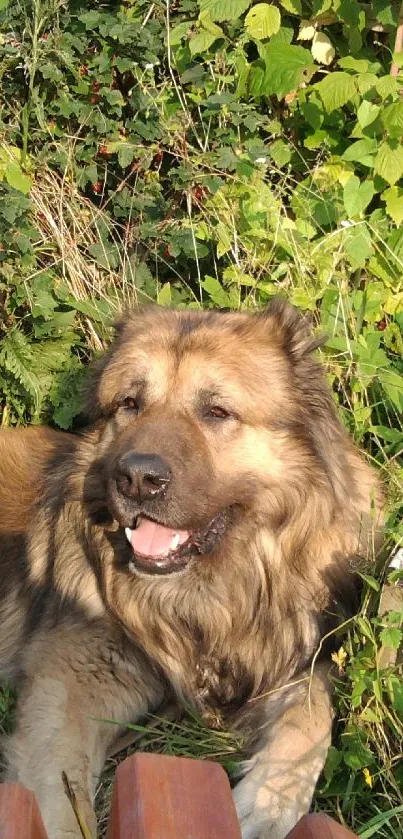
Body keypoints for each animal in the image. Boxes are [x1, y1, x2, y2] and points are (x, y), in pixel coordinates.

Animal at [0, 304, 384, 839]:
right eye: (130, 403)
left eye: (216, 412)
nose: (137, 478)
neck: (210, 593)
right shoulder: (69, 685)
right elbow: (60, 802)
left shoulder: (292, 652)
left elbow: (313, 713)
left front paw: (266, 803)